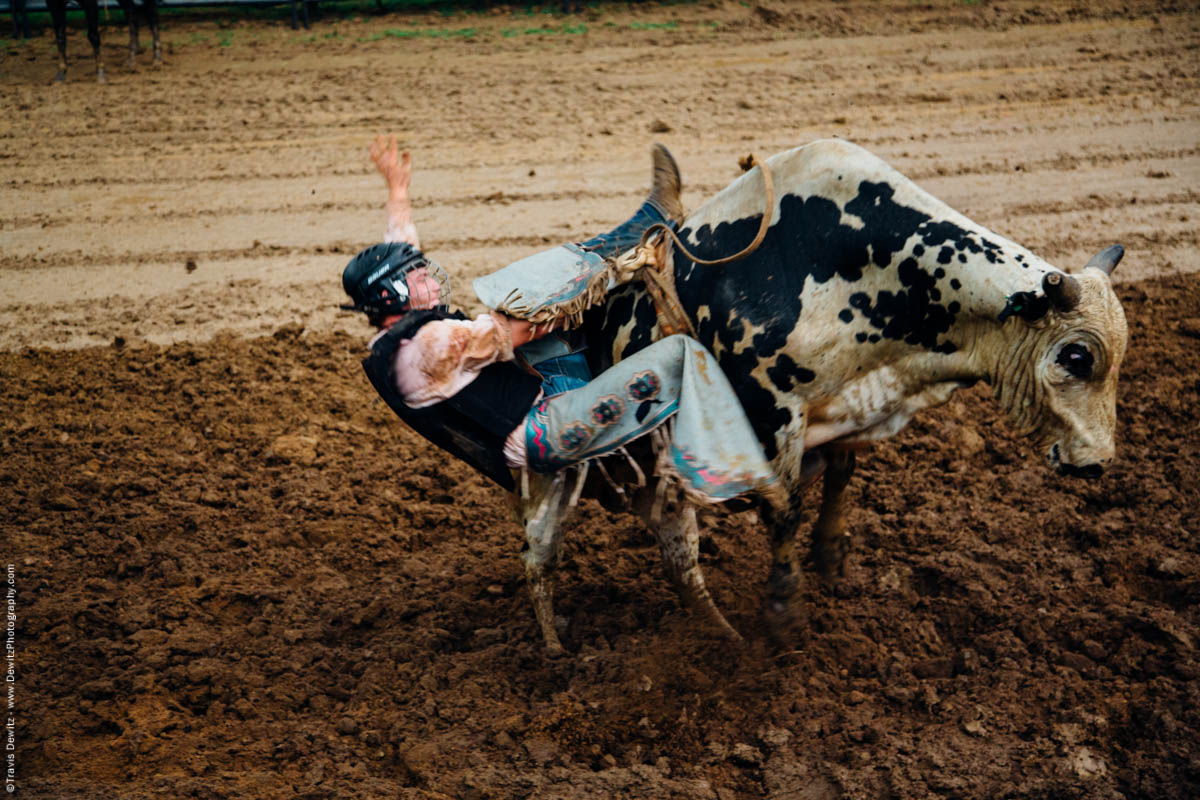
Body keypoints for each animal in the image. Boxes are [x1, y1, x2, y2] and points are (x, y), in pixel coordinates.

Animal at [516, 139, 1123, 657]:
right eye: (1076, 356)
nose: (1097, 460)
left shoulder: (843, 402)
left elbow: (841, 474)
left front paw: (831, 557)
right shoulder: (770, 410)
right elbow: (784, 510)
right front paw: (784, 615)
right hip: (556, 482)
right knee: (540, 555)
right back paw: (556, 651)